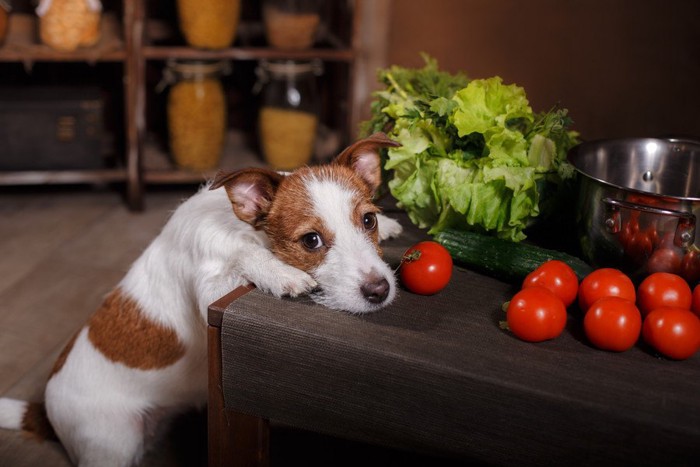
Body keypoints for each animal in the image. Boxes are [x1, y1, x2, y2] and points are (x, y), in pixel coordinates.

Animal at [0, 133, 402, 466]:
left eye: (368, 220)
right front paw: (279, 273)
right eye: (311, 241)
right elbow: (242, 255)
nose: (380, 290)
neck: (242, 227)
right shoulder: (211, 291)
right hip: (112, 441)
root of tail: (45, 408)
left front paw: (392, 226)